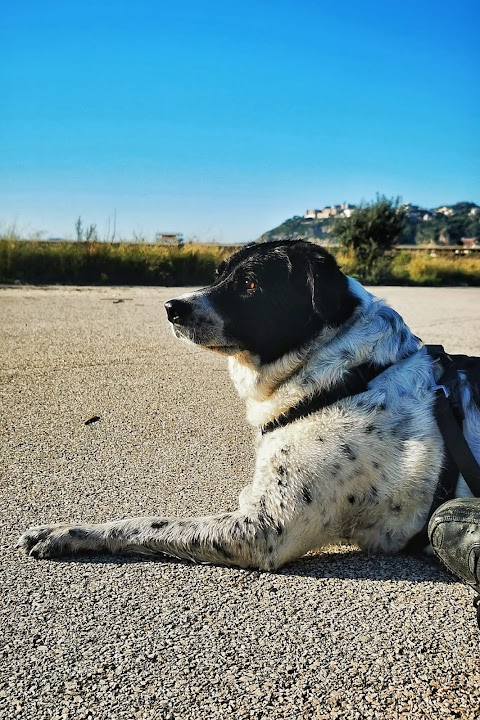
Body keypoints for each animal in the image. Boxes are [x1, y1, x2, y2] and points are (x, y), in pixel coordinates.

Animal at [15, 242, 480, 568]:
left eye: (251, 285)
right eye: (219, 274)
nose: (170, 307)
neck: (349, 374)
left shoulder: (263, 530)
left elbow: (146, 523)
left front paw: (68, 533)